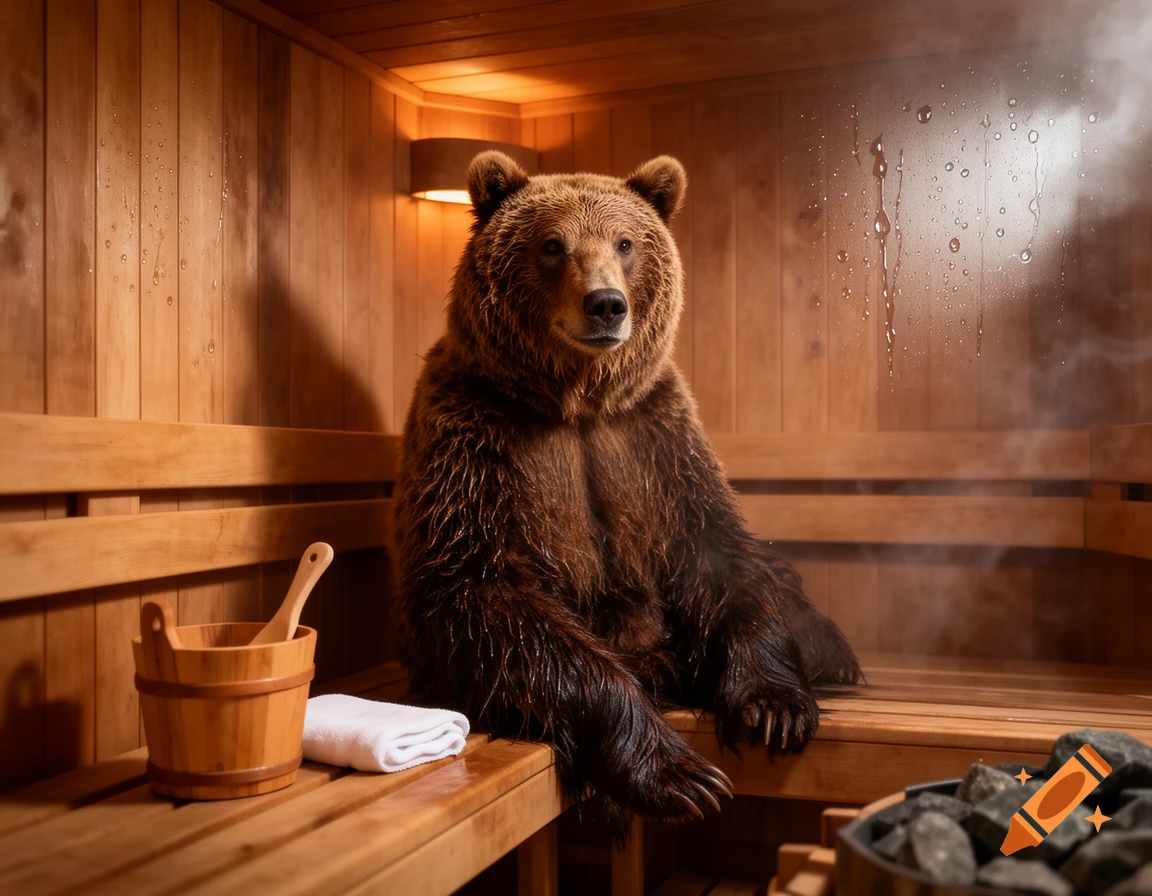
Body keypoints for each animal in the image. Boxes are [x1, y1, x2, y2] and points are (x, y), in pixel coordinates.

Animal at [394, 150, 861, 823]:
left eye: (626, 241)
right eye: (552, 244)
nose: (606, 303)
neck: (577, 401)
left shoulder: (654, 442)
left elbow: (721, 556)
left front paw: (773, 707)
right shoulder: (476, 446)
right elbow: (483, 594)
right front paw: (678, 773)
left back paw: (830, 651)